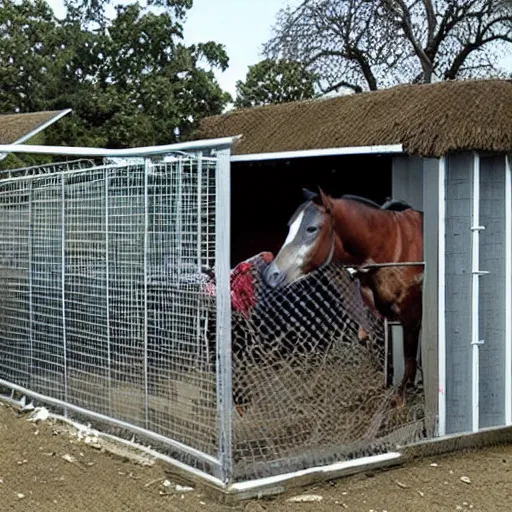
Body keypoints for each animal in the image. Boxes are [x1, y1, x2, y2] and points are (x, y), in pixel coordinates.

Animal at [262, 186, 422, 406]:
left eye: (312, 228)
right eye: (290, 227)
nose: (271, 275)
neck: (393, 249)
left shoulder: (412, 315)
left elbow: (409, 357)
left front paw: (401, 396)